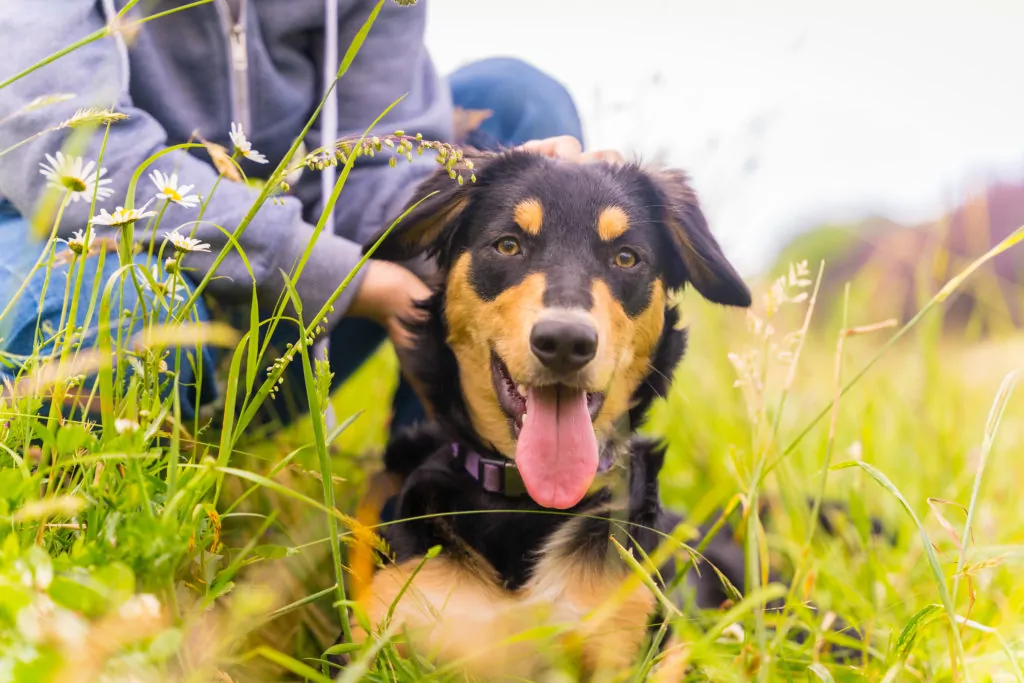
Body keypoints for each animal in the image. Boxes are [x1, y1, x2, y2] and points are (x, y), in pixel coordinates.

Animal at [339, 149, 765, 679]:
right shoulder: (382, 631)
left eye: (626, 257)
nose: (565, 341)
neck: (526, 506)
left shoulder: (628, 639)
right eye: (508, 245)